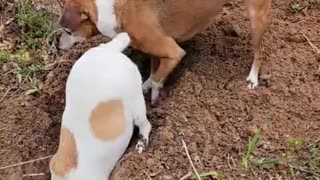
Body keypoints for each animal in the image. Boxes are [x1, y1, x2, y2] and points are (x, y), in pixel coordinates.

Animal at [58, 0, 272, 105]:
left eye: (68, 31)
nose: (57, 43)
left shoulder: (173, 52)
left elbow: (156, 79)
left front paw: (152, 95)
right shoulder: (155, 50)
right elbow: (154, 71)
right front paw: (147, 87)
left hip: (256, 17)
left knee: (260, 52)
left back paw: (253, 78)